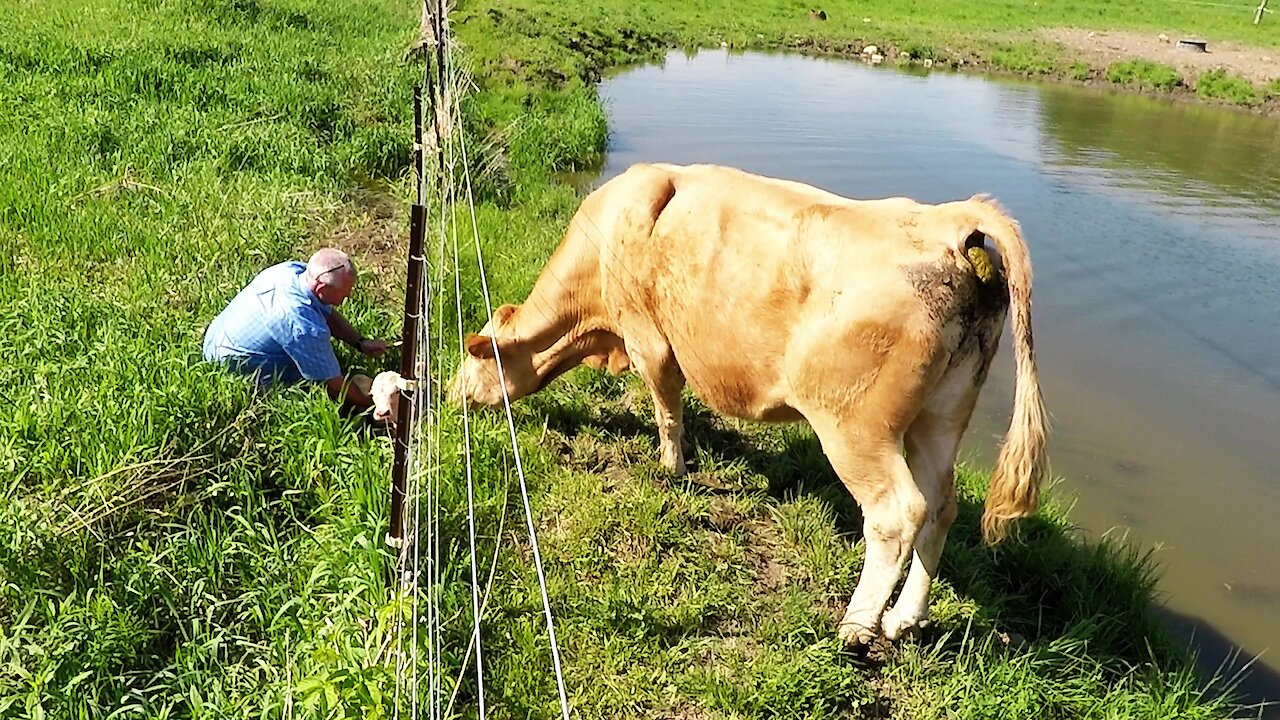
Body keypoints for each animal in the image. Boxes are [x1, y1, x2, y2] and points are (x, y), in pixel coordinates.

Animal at [445, 162, 1044, 645]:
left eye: (469, 363)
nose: (450, 399)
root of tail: (951, 222)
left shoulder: (650, 340)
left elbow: (667, 410)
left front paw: (671, 469)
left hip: (856, 428)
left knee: (898, 514)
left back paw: (857, 626)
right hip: (940, 416)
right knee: (941, 508)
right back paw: (904, 620)